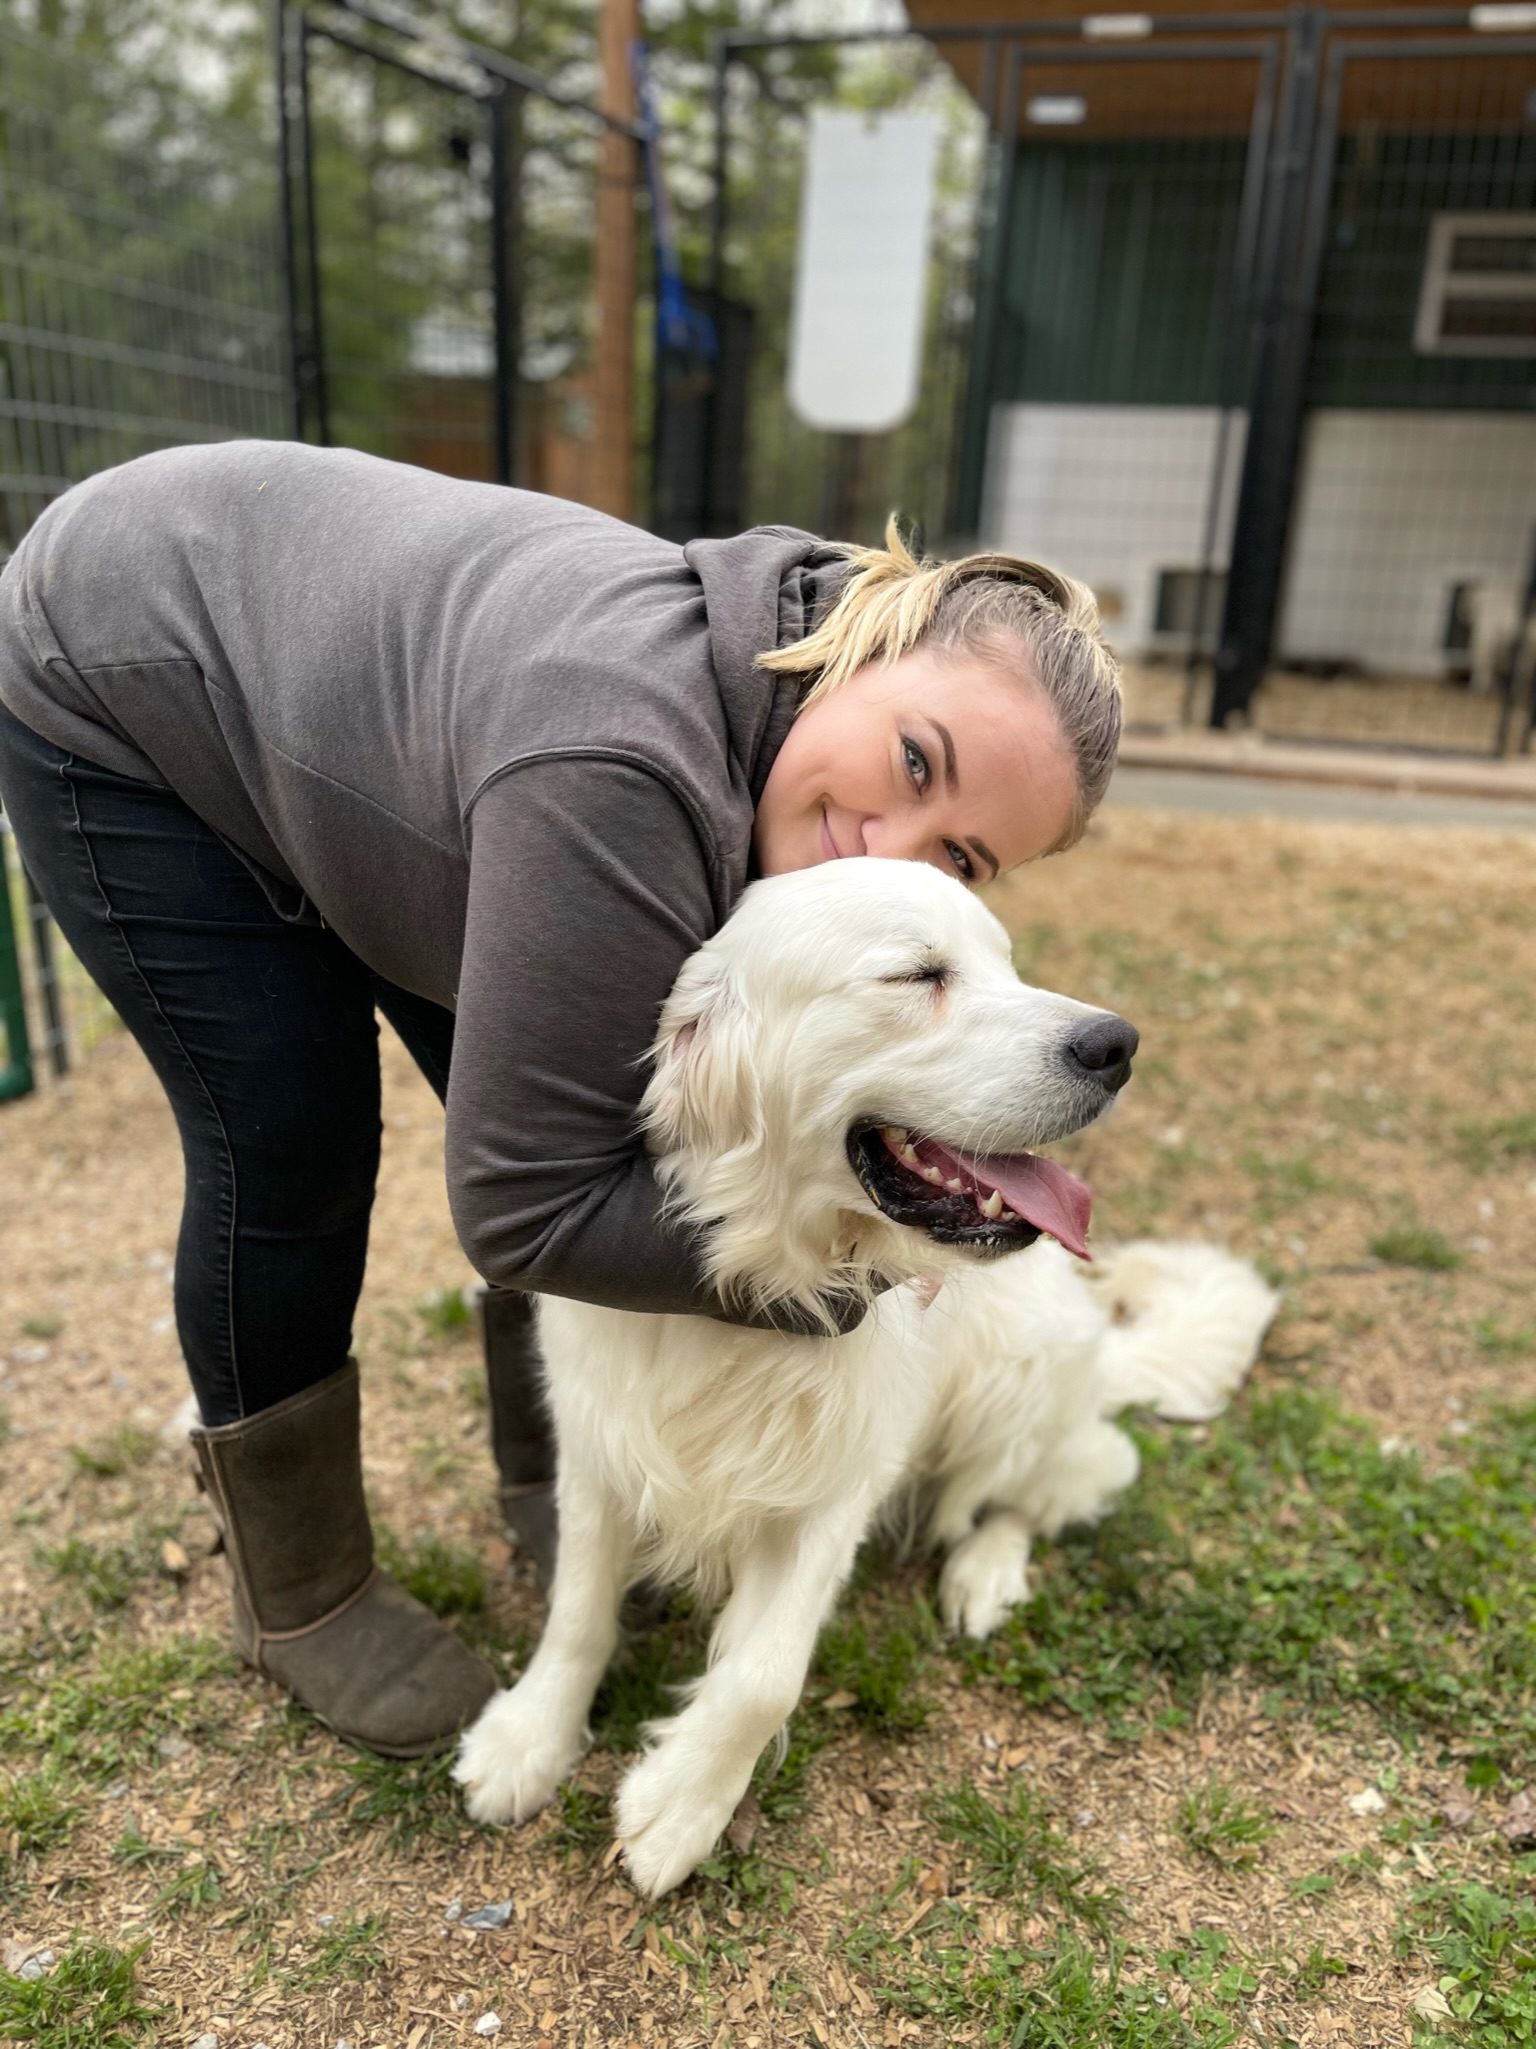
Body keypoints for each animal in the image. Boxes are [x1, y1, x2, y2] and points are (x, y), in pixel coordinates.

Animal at [450, 856, 1277, 1893]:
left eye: (1007, 963)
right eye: (917, 974)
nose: (1116, 1044)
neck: (758, 1293)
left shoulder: (836, 1484)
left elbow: (762, 1675)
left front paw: (682, 1803)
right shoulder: (599, 1445)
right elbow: (575, 1612)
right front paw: (530, 1736)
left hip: (1022, 1370)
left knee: (1050, 1485)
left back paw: (984, 1574)